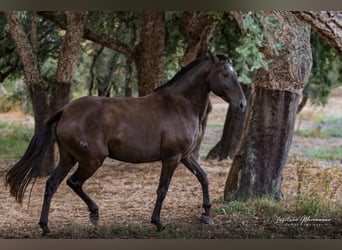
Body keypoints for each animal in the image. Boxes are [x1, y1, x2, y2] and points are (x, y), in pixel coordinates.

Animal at [5, 51, 246, 235]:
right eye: (226, 74)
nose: (243, 104)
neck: (179, 106)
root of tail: (65, 111)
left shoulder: (186, 156)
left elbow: (203, 178)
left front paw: (207, 215)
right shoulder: (171, 158)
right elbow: (162, 189)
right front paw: (158, 222)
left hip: (68, 157)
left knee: (52, 184)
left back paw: (46, 226)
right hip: (92, 160)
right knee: (73, 182)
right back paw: (94, 214)